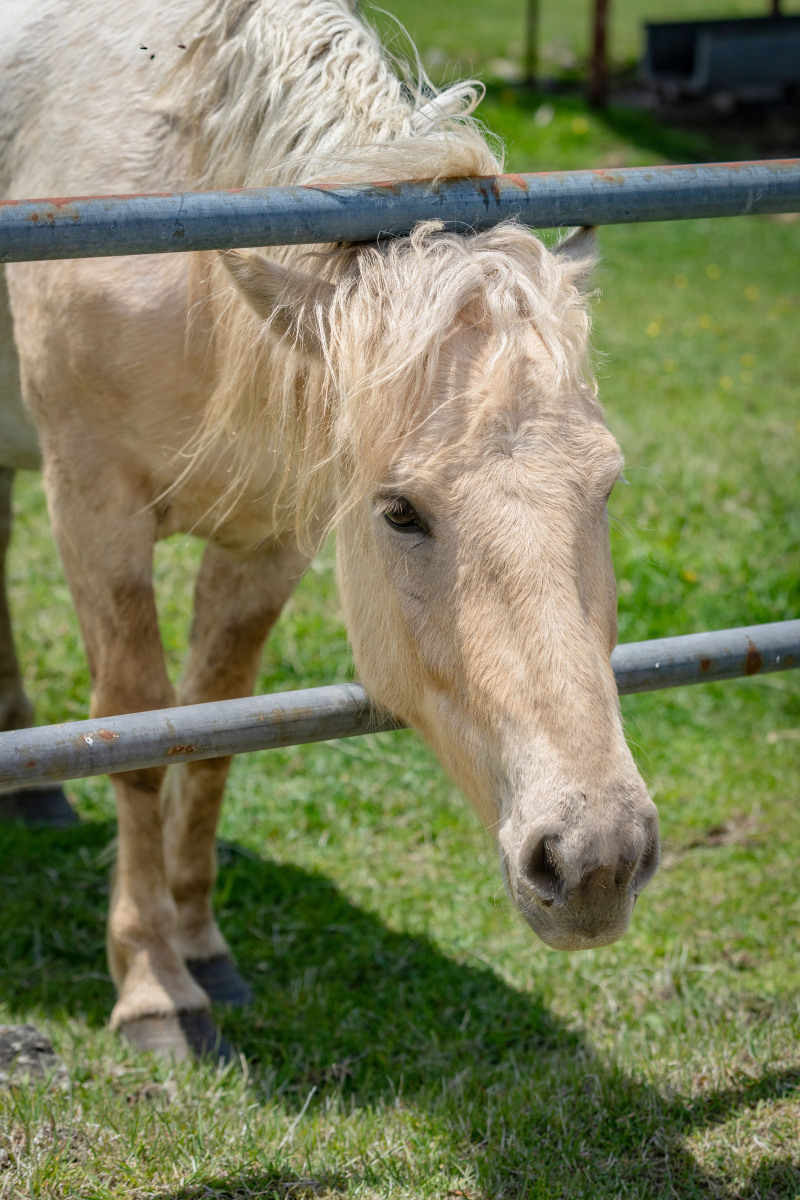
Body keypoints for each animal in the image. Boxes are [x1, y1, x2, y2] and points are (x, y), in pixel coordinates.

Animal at [0, 0, 660, 1058]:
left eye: (605, 487)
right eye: (399, 512)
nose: (594, 860)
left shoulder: (268, 539)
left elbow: (211, 731)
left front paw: (205, 950)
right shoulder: (93, 509)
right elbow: (138, 732)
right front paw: (154, 987)